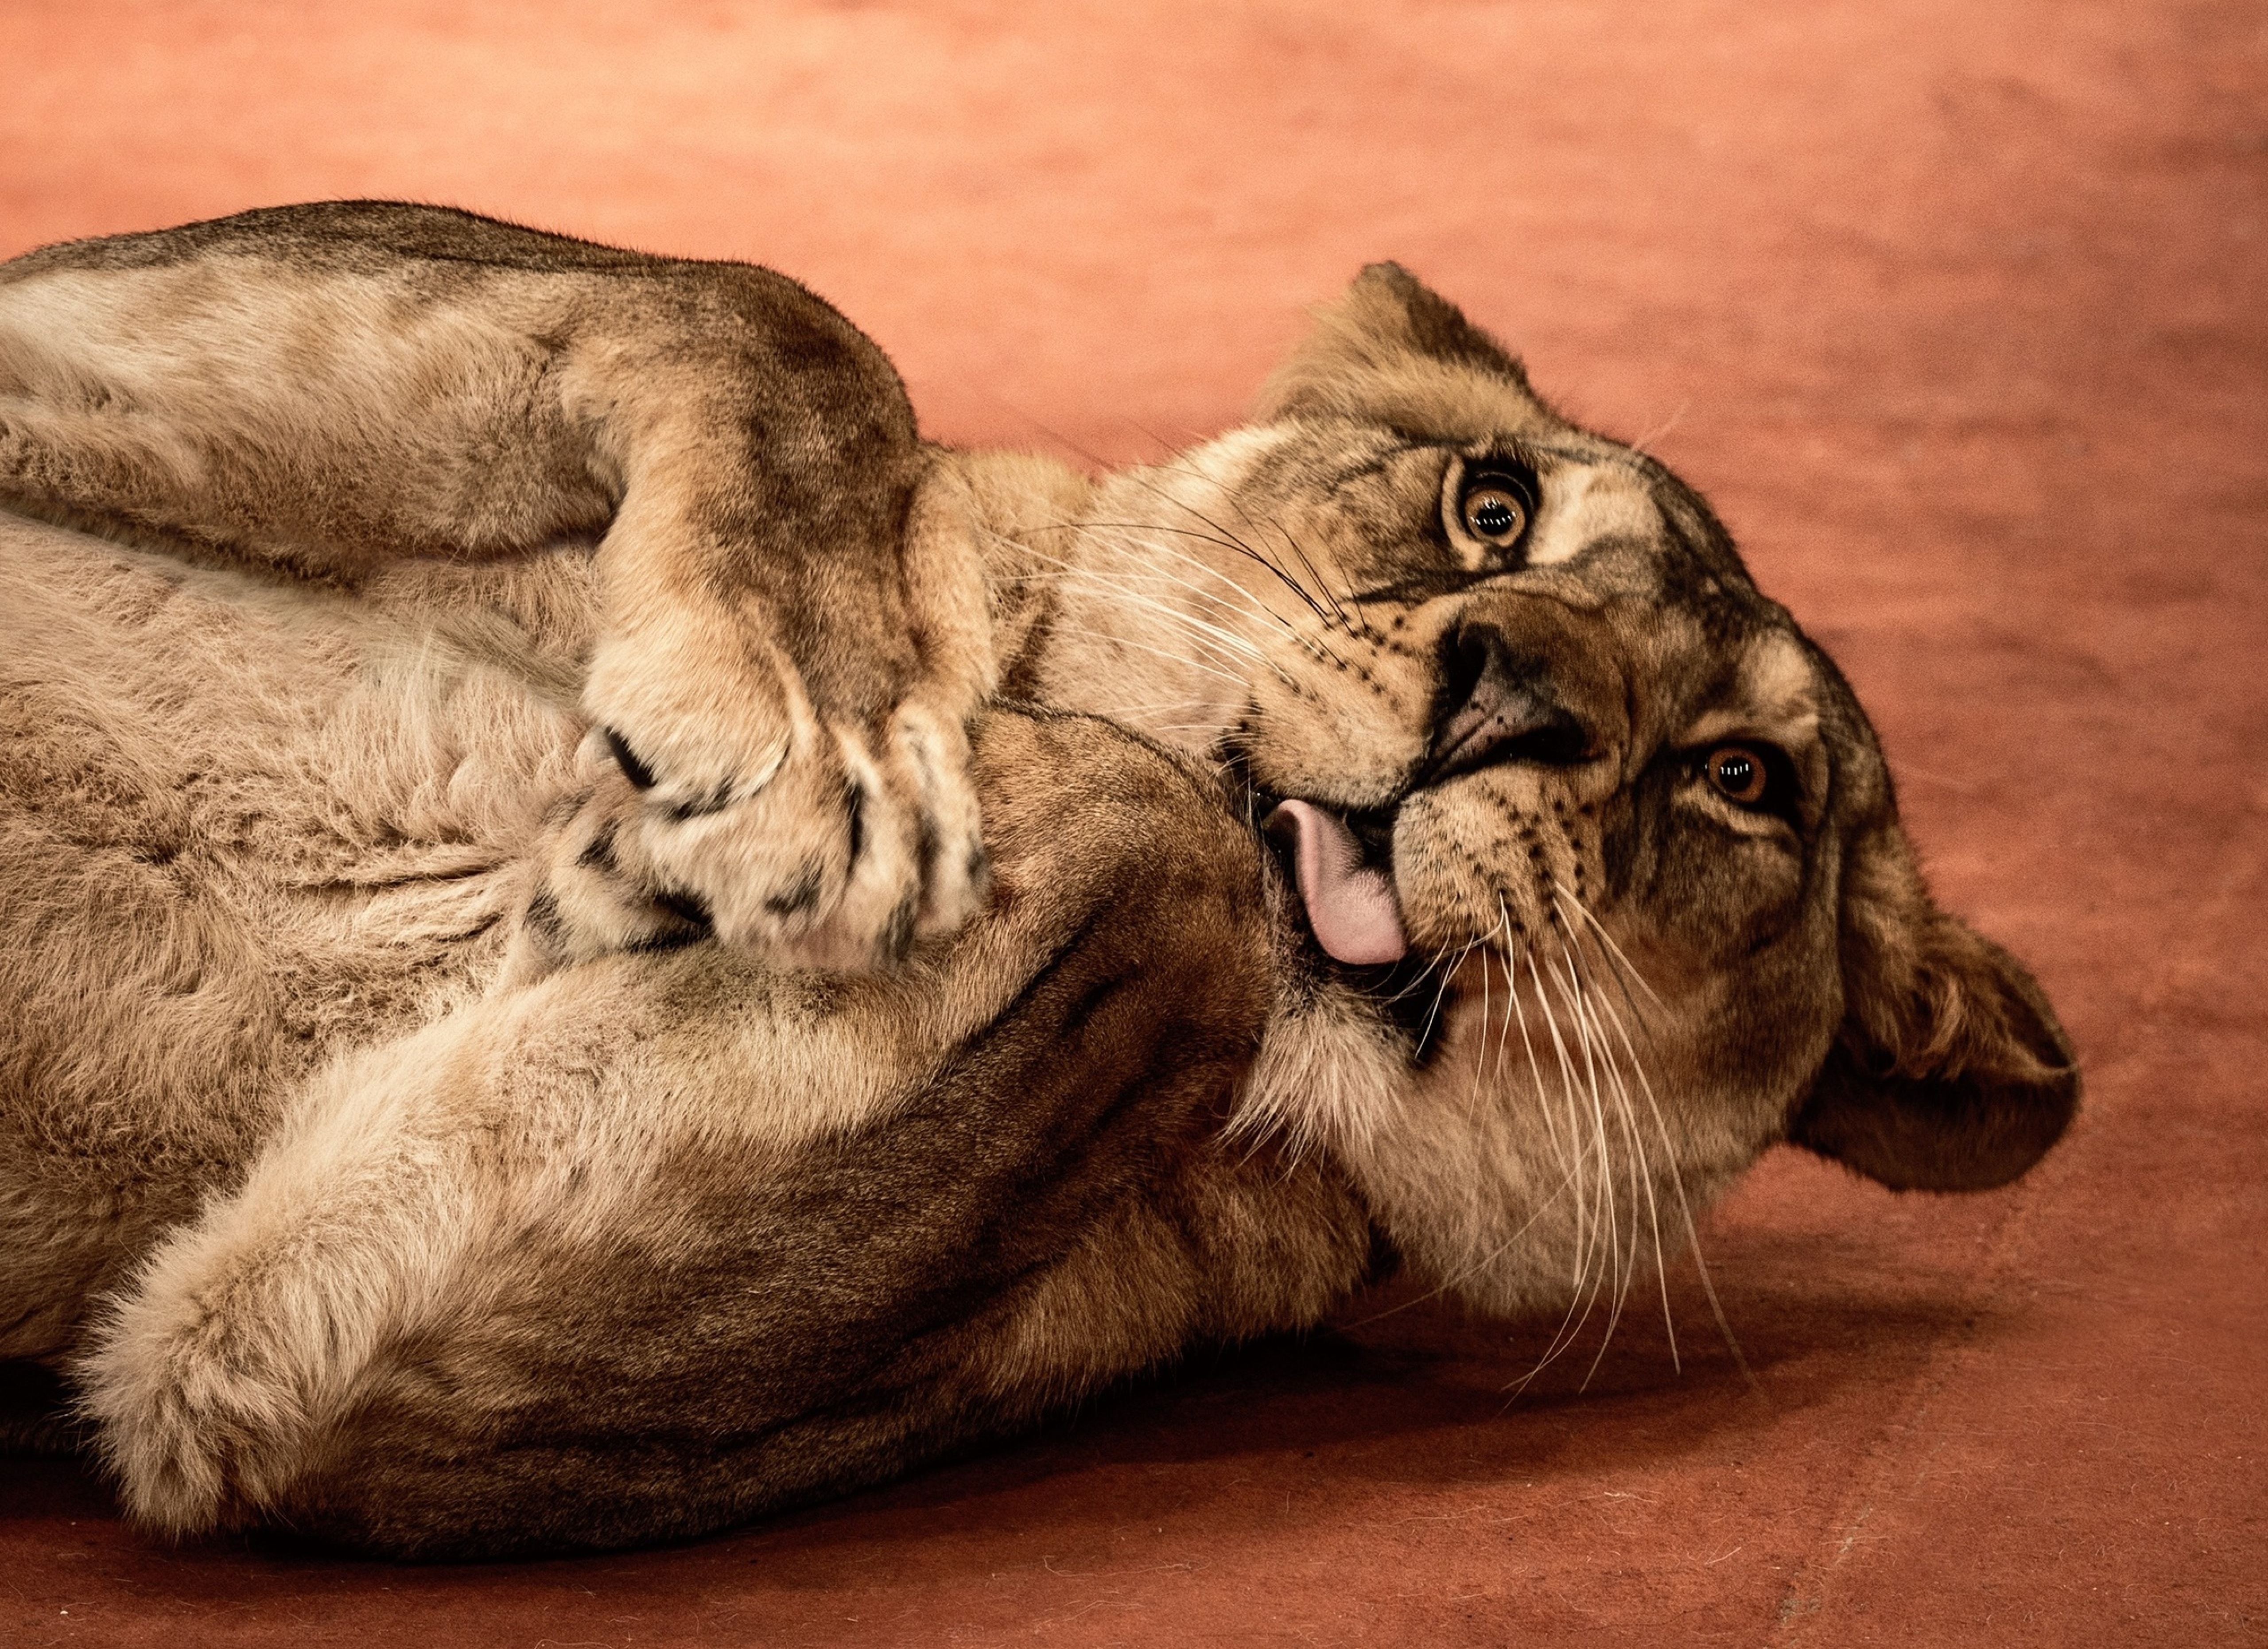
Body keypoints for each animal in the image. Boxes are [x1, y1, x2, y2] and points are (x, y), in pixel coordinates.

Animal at [0, 206, 2077, 1560]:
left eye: (1741, 778)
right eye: (1489, 507)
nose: (1513, 692)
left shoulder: (299, 1382)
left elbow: (1177, 860)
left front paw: (722, 826)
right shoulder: (111, 299)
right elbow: (783, 320)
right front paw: (795, 754)